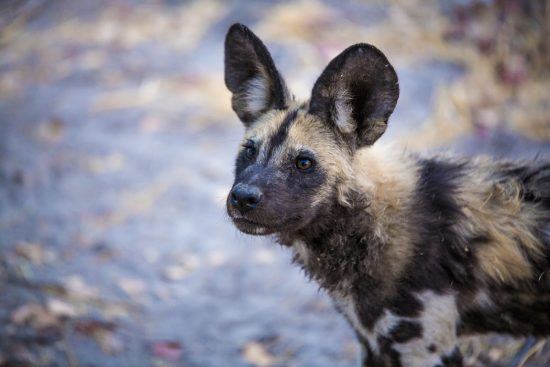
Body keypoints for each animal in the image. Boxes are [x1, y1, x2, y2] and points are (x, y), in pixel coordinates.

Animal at [224, 23, 550, 367]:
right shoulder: (374, 344)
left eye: (303, 163)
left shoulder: (425, 348)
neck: (372, 224)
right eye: (249, 151)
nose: (243, 197)